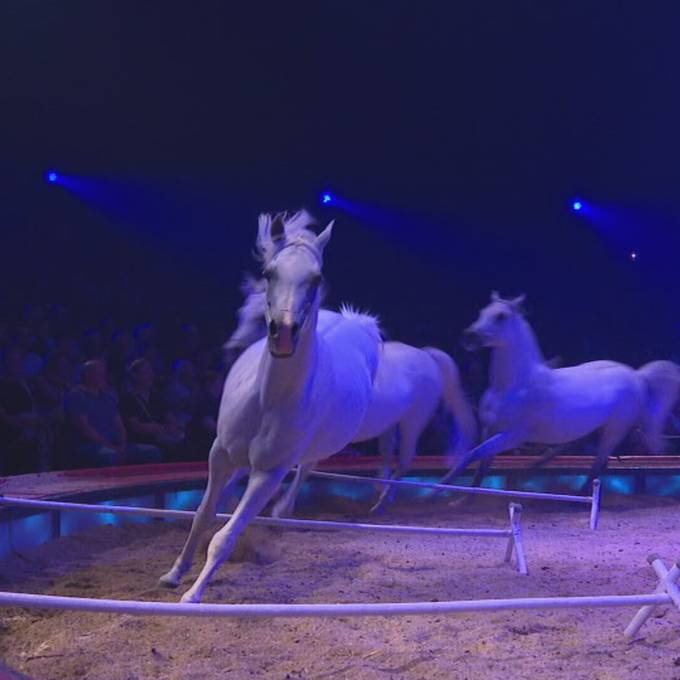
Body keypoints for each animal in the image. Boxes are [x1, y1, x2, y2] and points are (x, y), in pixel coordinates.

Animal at [159, 211, 382, 600]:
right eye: (268, 272)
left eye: (316, 277)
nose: (284, 333)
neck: (267, 400)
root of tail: (355, 323)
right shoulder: (219, 454)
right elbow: (203, 514)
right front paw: (174, 574)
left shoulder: (269, 472)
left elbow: (224, 537)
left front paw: (193, 595)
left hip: (313, 450)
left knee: (305, 469)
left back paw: (282, 510)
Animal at [223, 276, 478, 516]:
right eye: (241, 313)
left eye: (259, 317)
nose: (232, 349)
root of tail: (427, 355)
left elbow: (301, 467)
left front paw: (282, 508)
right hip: (390, 425)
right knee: (388, 456)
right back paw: (381, 492)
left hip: (413, 421)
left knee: (405, 460)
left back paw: (381, 505)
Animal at [440, 290, 680, 484]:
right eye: (482, 311)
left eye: (501, 316)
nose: (469, 337)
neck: (513, 385)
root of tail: (637, 375)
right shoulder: (489, 430)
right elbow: (479, 468)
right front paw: (460, 500)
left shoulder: (511, 436)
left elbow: (471, 455)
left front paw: (439, 490)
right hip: (591, 429)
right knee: (575, 452)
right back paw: (532, 470)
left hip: (614, 430)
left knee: (596, 468)